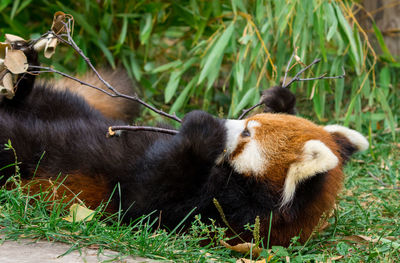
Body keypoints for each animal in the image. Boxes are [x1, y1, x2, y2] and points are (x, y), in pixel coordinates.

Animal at [0, 40, 368, 246]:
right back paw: (23, 71)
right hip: (65, 106)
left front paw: (203, 129)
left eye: (247, 134)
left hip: (21, 153)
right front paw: (281, 98)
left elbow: (142, 199)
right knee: (41, 102)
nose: (227, 121)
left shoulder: (217, 214)